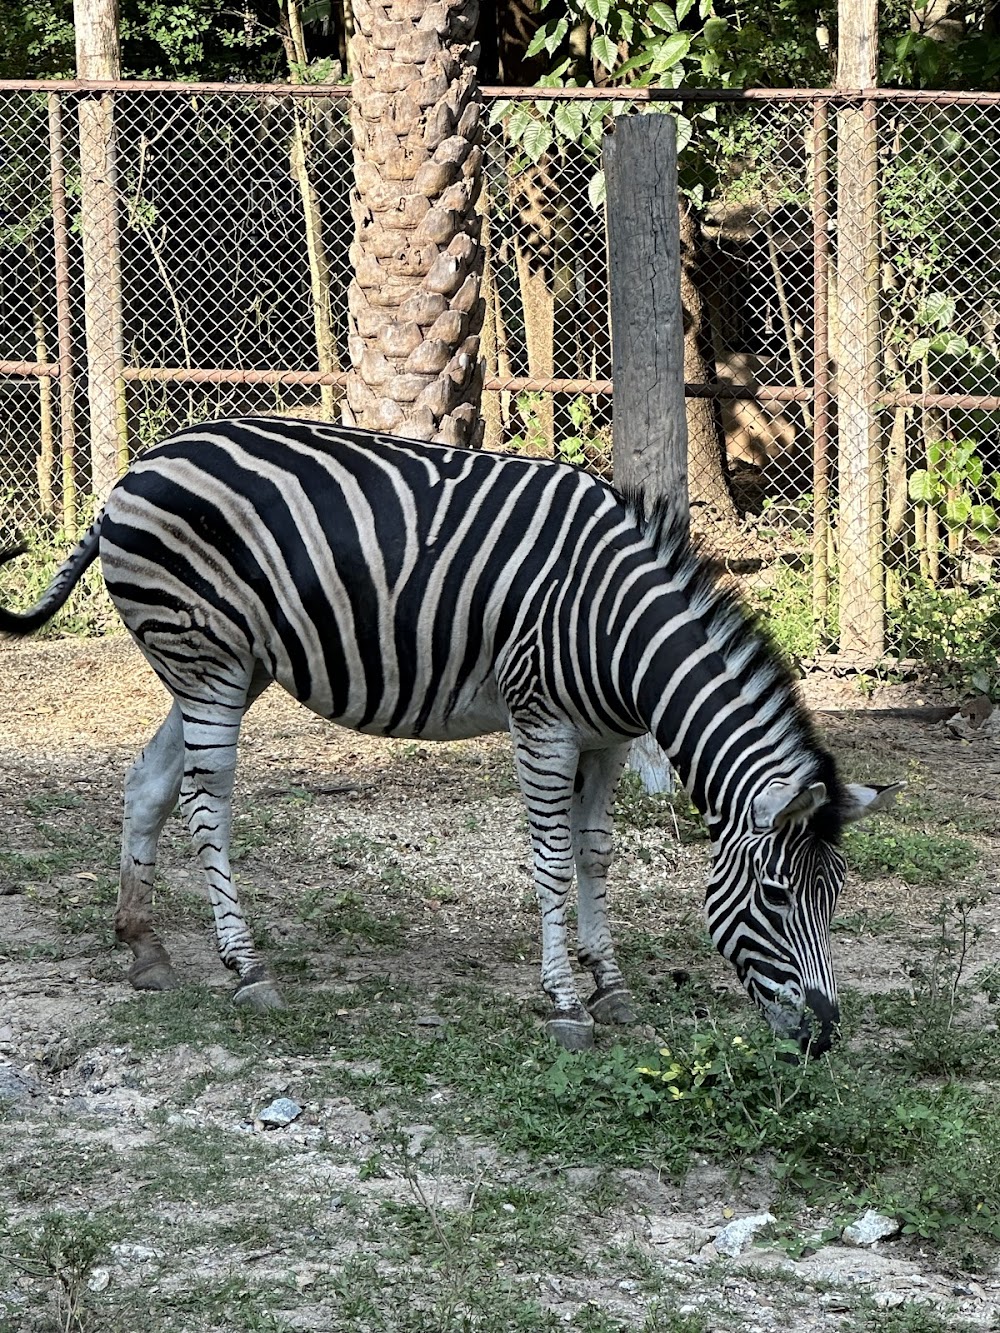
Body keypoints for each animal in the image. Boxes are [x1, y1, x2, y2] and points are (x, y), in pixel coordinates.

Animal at [0, 415, 901, 1050]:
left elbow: (595, 854)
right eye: (777, 897)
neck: (621, 631)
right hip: (207, 658)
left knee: (149, 781)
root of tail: (134, 471)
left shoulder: (607, 738)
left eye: (835, 898)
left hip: (221, 665)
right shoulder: (543, 723)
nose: (824, 1037)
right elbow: (550, 859)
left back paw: (144, 946)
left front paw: (610, 986)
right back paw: (246, 967)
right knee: (207, 802)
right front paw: (565, 1003)